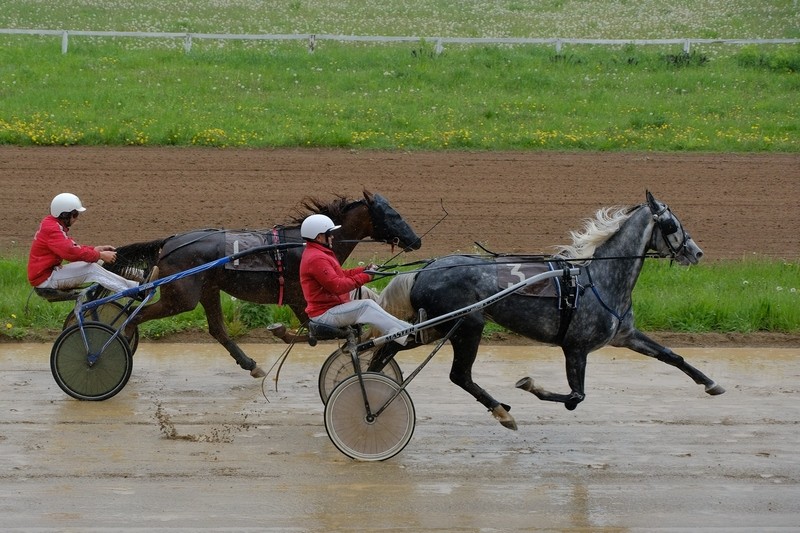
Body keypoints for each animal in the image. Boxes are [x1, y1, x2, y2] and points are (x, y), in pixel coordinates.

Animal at [110, 189, 422, 376]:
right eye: (392, 214)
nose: (416, 240)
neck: (305, 242)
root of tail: (169, 243)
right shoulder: (299, 298)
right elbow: (315, 332)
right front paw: (283, 331)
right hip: (181, 298)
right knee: (134, 316)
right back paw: (118, 344)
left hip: (209, 290)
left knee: (217, 330)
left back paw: (250, 364)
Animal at [376, 191, 724, 428]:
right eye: (671, 224)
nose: (696, 252)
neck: (599, 280)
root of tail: (424, 270)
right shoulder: (576, 348)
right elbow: (575, 397)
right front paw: (529, 385)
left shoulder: (625, 335)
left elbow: (671, 356)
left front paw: (711, 383)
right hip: (466, 326)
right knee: (459, 375)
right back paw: (501, 411)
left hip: (436, 326)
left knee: (389, 348)